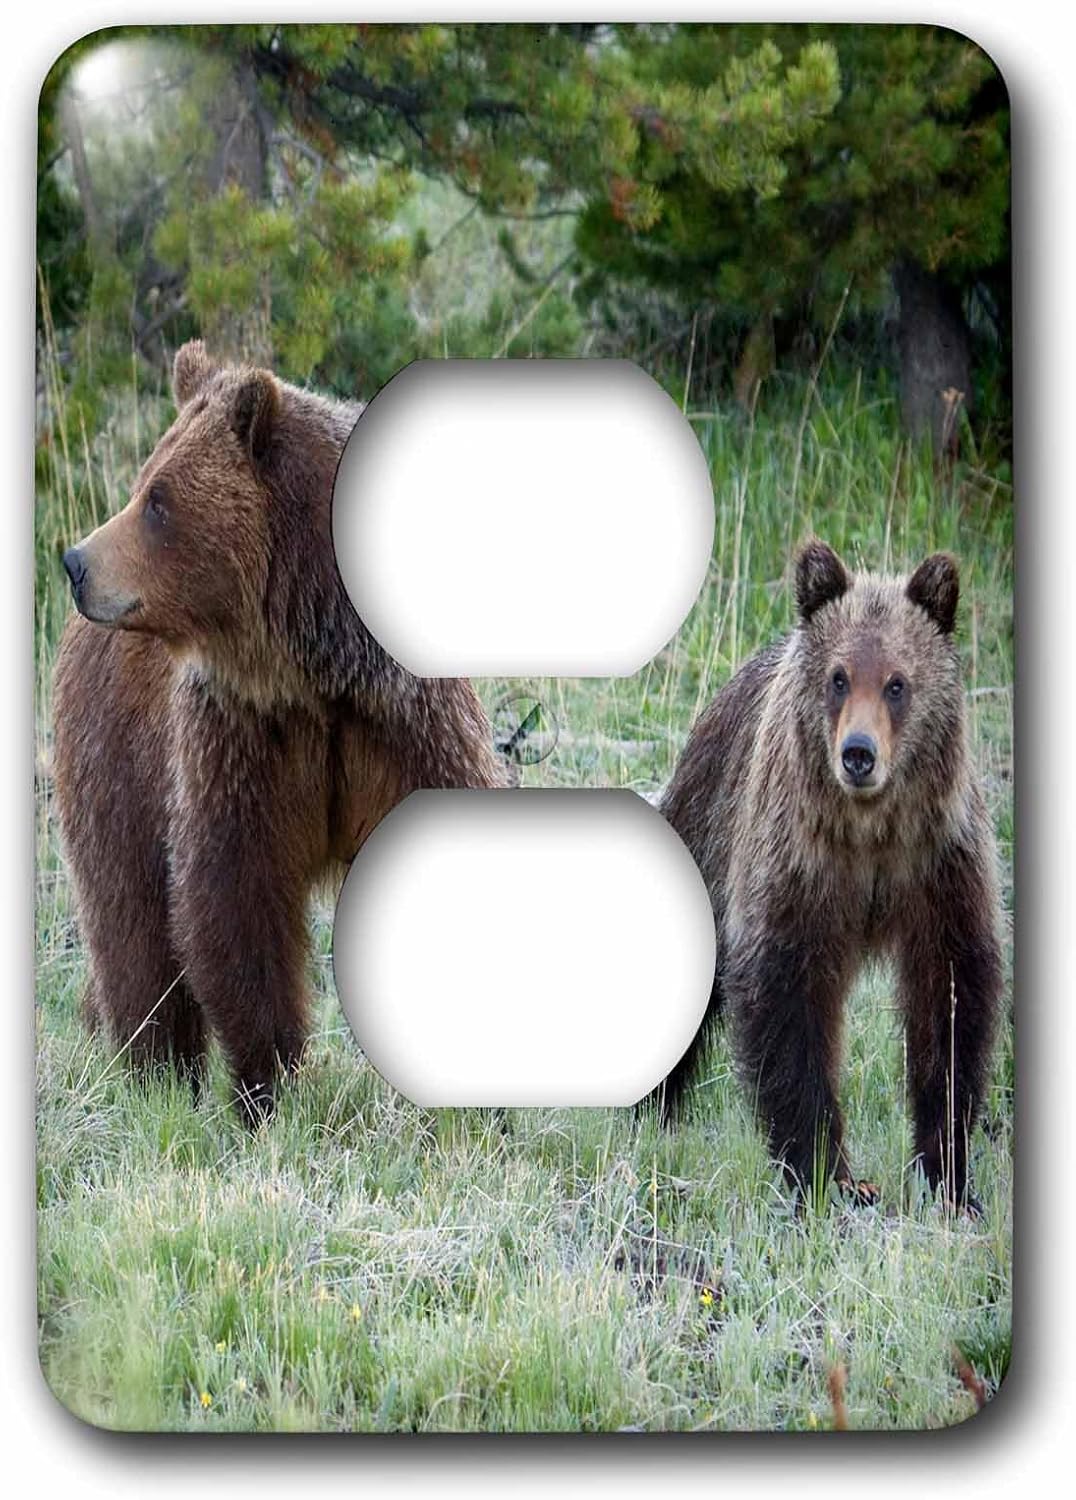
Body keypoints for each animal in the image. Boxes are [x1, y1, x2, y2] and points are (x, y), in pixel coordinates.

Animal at [53, 340, 506, 1122]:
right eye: (144, 482)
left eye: (158, 500)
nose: (78, 562)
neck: (317, 672)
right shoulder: (238, 739)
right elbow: (234, 899)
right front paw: (269, 1085)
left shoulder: (405, 728)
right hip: (115, 758)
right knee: (131, 925)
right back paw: (154, 1071)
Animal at [656, 538, 1004, 1212]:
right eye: (839, 677)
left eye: (897, 683)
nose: (858, 754)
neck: (870, 832)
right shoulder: (798, 866)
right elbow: (789, 1002)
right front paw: (826, 1172)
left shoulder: (938, 863)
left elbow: (951, 997)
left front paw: (949, 1175)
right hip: (707, 826)